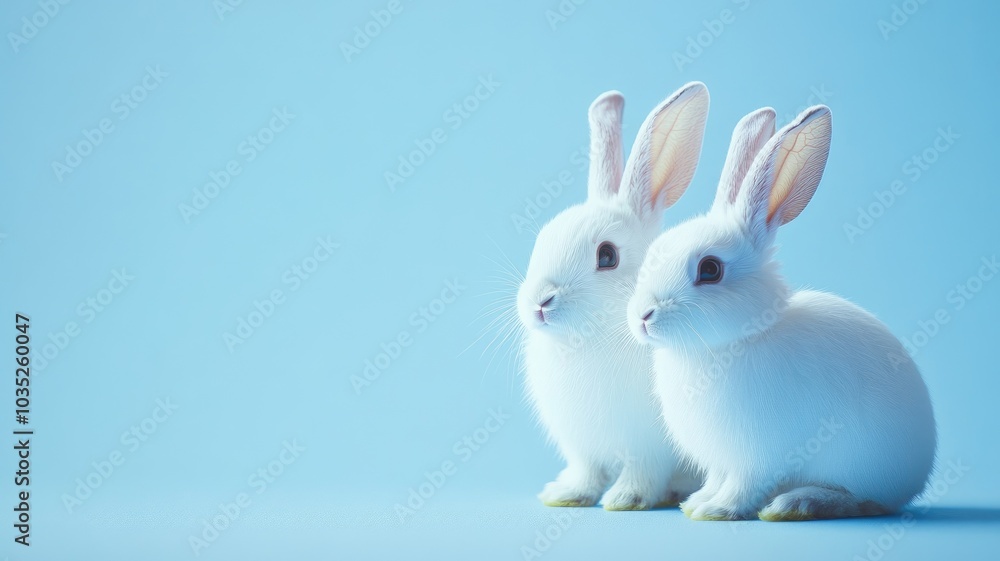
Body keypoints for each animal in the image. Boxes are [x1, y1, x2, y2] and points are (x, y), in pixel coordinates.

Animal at [517, 83, 709, 510]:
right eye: (541, 240)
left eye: (607, 255)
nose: (540, 301)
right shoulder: (581, 447)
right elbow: (586, 472)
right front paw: (564, 495)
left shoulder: (650, 448)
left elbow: (643, 473)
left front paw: (626, 499)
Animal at [626, 104, 937, 520]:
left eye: (710, 269)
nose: (643, 316)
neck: (739, 338)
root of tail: (917, 476)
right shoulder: (721, 461)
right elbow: (717, 479)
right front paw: (697, 503)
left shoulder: (756, 457)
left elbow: (743, 485)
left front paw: (718, 510)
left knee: (859, 499)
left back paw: (798, 502)